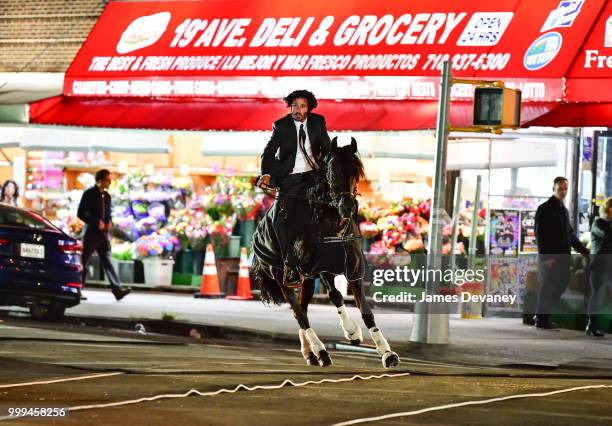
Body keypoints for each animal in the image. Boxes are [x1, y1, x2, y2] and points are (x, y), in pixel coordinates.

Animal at [251, 137, 400, 370]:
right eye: (331, 172)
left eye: (357, 171)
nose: (347, 207)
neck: (333, 224)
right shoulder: (321, 269)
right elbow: (335, 295)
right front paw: (351, 331)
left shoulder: (353, 271)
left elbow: (366, 311)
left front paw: (386, 353)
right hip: (283, 277)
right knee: (299, 314)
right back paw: (321, 351)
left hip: (306, 281)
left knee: (302, 309)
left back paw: (310, 353)